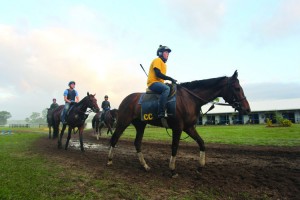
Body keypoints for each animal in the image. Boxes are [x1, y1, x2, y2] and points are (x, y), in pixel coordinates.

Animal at [108, 71, 251, 177]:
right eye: (237, 88)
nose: (247, 109)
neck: (189, 99)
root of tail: (126, 99)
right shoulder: (178, 128)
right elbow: (175, 147)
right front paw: (172, 170)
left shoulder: (189, 127)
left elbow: (202, 143)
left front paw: (200, 167)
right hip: (123, 122)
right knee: (114, 138)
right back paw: (109, 160)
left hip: (140, 125)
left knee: (137, 143)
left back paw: (145, 166)